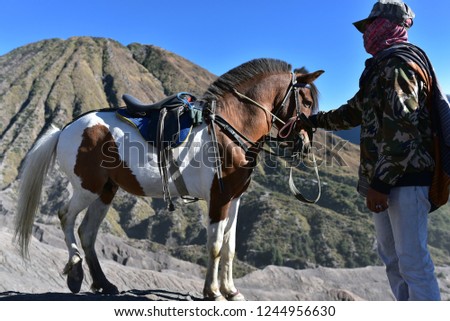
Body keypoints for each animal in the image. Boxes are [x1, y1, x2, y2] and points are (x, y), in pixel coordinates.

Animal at [14, 57, 324, 300]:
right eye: (307, 101)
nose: (305, 145)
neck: (228, 130)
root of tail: (65, 129)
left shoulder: (235, 199)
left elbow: (229, 247)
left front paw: (231, 291)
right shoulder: (218, 199)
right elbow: (214, 245)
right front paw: (213, 292)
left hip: (106, 190)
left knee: (87, 232)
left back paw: (104, 284)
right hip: (86, 188)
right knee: (66, 217)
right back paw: (75, 271)